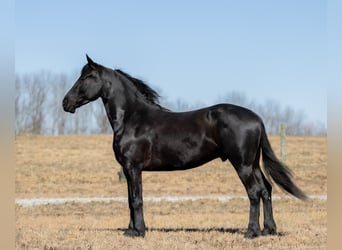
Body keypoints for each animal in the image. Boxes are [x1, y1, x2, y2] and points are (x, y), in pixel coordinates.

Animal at [62, 55, 306, 239]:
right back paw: (268, 230)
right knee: (266, 189)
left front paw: (139, 232)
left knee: (254, 192)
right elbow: (131, 200)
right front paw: (131, 230)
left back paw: (251, 232)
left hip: (242, 165)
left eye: (87, 76)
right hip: (252, 163)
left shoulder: (133, 167)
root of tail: (256, 118)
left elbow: (136, 199)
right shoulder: (128, 169)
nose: (66, 103)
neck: (133, 118)